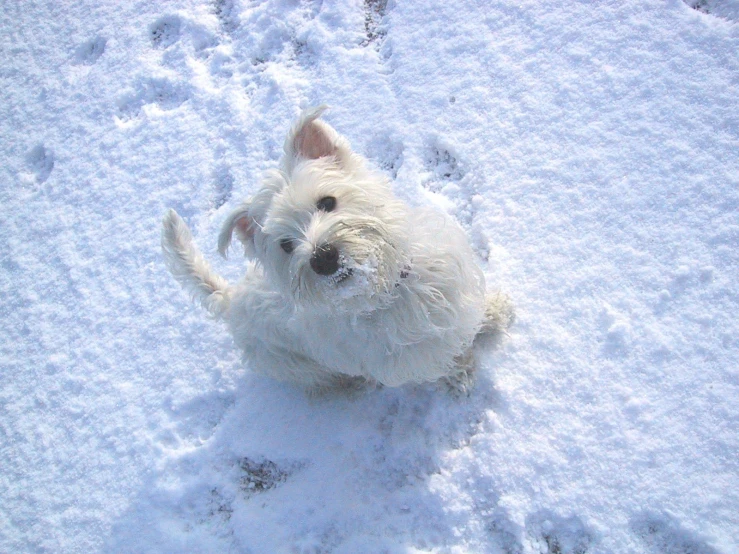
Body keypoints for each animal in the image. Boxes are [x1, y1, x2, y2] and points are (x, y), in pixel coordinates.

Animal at [162, 106, 512, 392]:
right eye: (286, 245)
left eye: (327, 201)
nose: (323, 258)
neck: (390, 291)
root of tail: (230, 299)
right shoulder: (413, 357)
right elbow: (446, 361)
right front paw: (462, 374)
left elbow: (474, 313)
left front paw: (495, 311)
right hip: (295, 364)